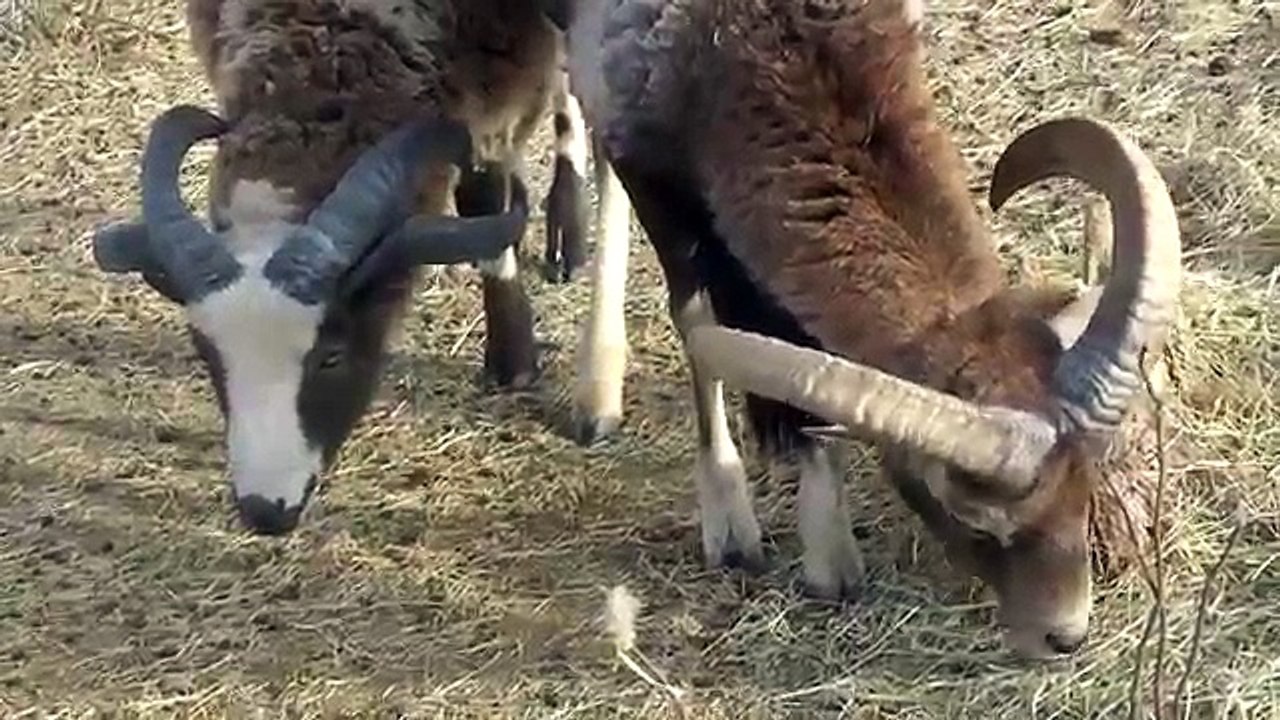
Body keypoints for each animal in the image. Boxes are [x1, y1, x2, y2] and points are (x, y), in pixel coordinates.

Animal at [561, 0, 1181, 660]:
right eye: (965, 510)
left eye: (1084, 478)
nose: (1064, 633)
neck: (740, 36)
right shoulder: (648, 167)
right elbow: (696, 315)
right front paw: (733, 533)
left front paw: (828, 556)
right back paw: (595, 394)